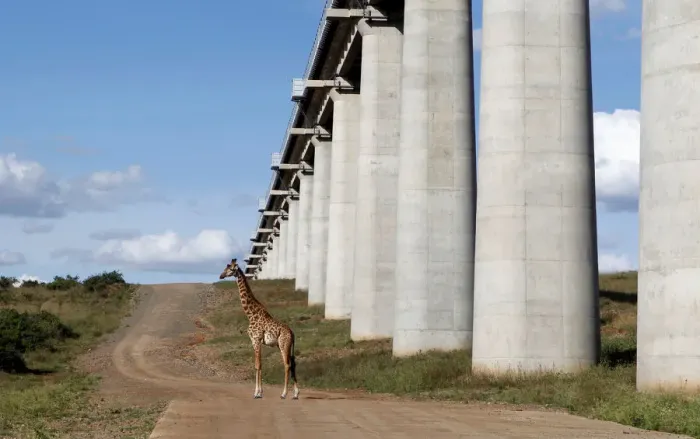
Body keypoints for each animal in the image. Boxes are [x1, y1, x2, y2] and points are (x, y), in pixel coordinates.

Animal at [218, 258, 300, 400]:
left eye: (230, 269)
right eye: (225, 267)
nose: (221, 276)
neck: (250, 314)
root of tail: (292, 333)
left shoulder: (256, 340)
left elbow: (258, 365)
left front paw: (257, 393)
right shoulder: (255, 341)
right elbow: (258, 365)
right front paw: (259, 392)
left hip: (283, 344)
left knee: (287, 365)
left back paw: (284, 393)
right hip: (287, 346)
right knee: (293, 364)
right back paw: (295, 394)